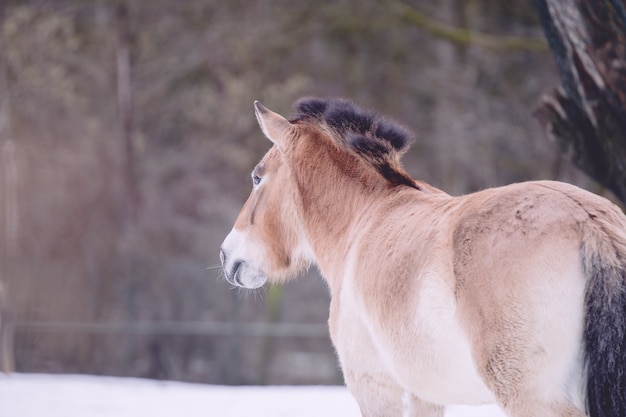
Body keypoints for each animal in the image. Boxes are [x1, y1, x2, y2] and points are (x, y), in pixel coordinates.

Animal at [219, 97, 624, 416]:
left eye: (257, 177)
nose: (227, 255)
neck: (364, 219)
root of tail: (591, 224)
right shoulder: (425, 394)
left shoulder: (373, 387)